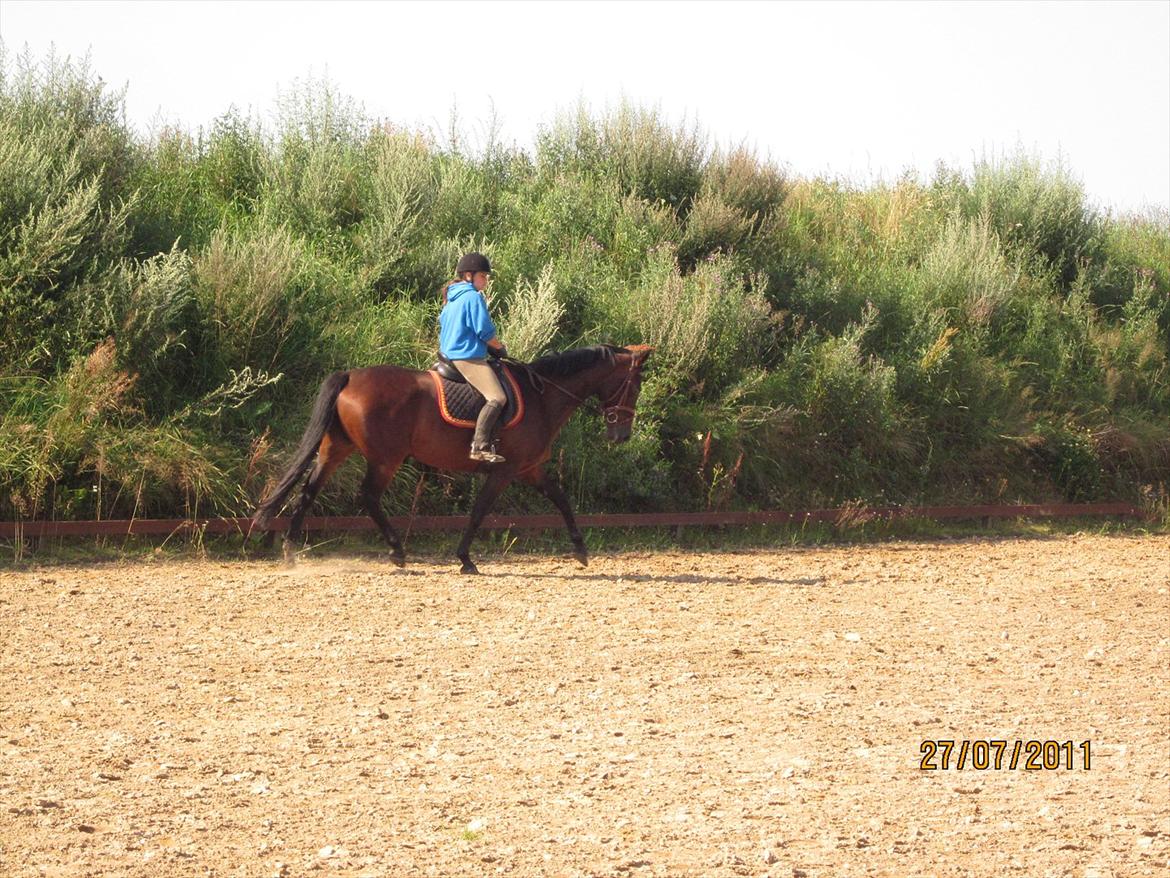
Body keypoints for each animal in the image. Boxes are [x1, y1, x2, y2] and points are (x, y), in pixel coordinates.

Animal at [251, 344, 655, 578]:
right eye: (634, 385)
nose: (621, 435)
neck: (543, 396)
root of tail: (350, 376)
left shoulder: (530, 469)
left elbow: (561, 499)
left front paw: (581, 550)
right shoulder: (504, 471)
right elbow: (478, 512)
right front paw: (465, 559)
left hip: (336, 448)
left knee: (309, 489)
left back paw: (290, 552)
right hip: (385, 458)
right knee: (367, 496)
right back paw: (397, 552)